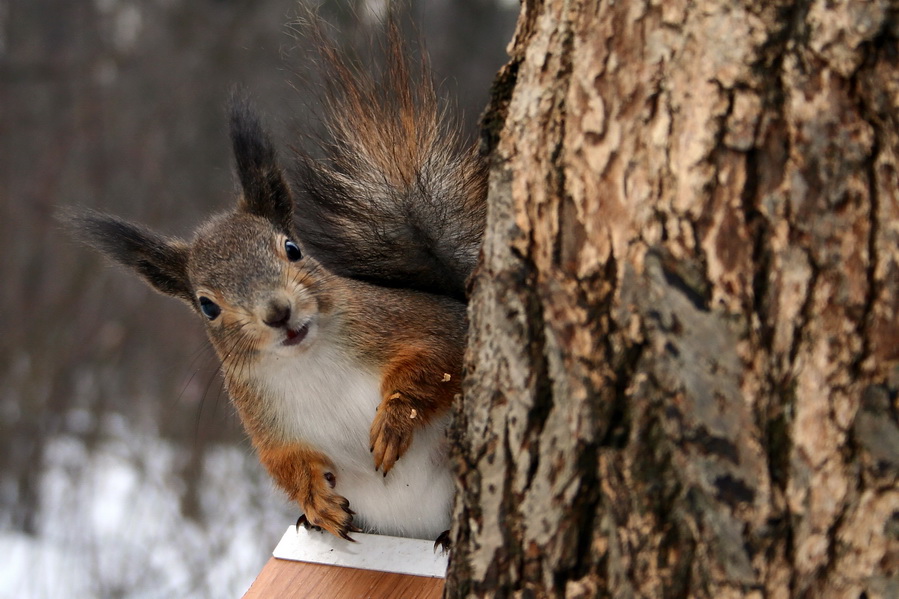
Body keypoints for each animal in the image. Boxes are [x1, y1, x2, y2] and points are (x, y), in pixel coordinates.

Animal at [65, 24, 486, 544]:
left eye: (292, 248)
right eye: (207, 305)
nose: (277, 312)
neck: (309, 361)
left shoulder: (417, 322)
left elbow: (439, 361)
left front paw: (394, 420)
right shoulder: (264, 421)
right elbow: (284, 463)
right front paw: (316, 501)